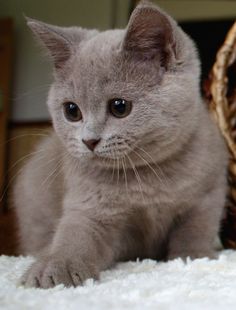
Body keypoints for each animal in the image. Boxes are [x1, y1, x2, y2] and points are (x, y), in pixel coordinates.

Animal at [13, 1, 228, 290]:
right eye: (71, 111)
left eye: (119, 106)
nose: (89, 140)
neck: (148, 176)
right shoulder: (89, 205)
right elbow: (76, 235)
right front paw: (56, 267)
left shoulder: (208, 194)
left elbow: (195, 228)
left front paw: (194, 256)